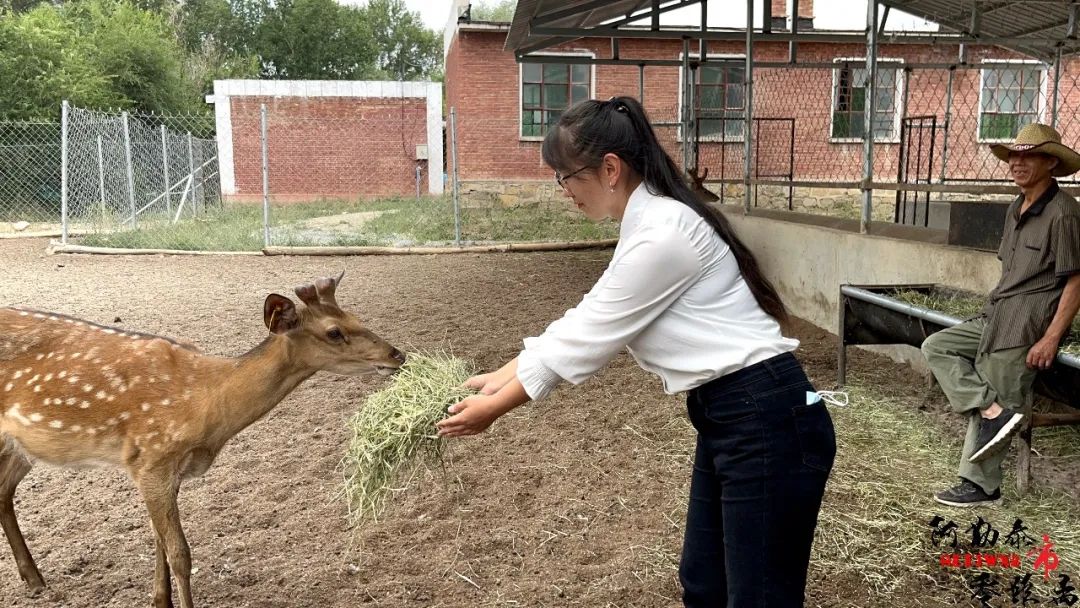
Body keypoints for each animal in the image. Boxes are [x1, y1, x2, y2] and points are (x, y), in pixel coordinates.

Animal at [1, 276, 406, 608]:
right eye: (334, 331)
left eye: (355, 316)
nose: (397, 354)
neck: (205, 407)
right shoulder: (152, 458)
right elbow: (180, 553)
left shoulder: (163, 469)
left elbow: (159, 542)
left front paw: (159, 601)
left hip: (19, 446)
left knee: (4, 492)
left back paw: (35, 581)